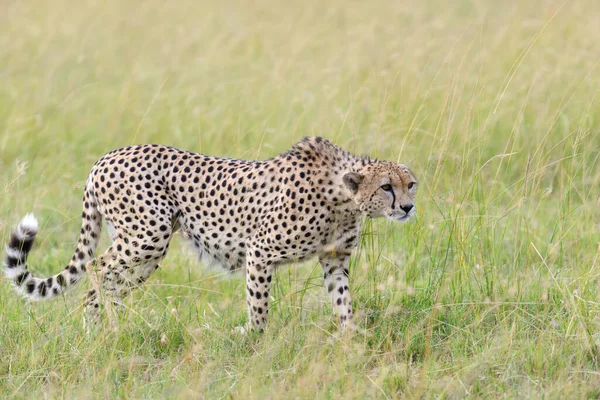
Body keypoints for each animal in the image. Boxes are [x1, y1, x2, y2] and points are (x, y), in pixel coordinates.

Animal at [2, 138, 418, 332]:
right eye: (386, 187)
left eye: (410, 184)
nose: (408, 207)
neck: (343, 197)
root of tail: (106, 157)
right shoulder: (260, 250)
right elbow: (259, 305)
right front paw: (251, 336)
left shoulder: (334, 260)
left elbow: (343, 303)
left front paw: (351, 341)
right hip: (146, 235)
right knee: (98, 268)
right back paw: (104, 328)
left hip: (147, 251)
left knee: (110, 282)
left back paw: (107, 330)